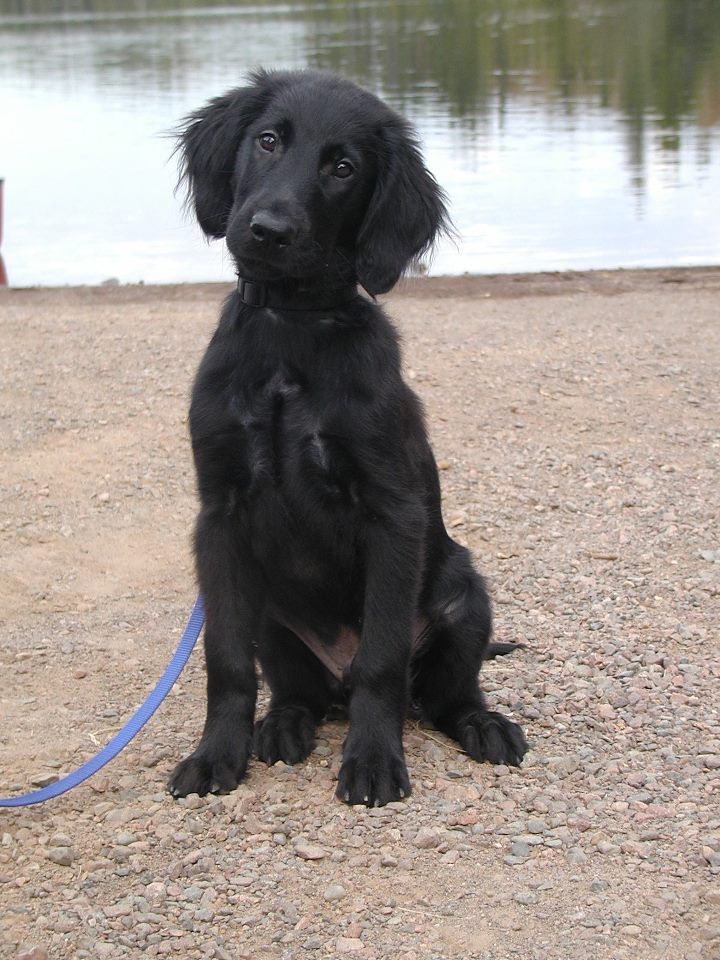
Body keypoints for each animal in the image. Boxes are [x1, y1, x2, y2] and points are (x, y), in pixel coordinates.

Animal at [170, 67, 528, 808]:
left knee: (443, 695)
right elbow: (224, 659)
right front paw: (217, 754)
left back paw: (483, 725)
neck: (289, 333)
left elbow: (381, 660)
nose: (268, 230)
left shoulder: (392, 513)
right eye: (268, 140)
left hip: (464, 597)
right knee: (296, 689)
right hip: (272, 617)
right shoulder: (218, 517)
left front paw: (372, 759)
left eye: (343, 168)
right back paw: (282, 725)